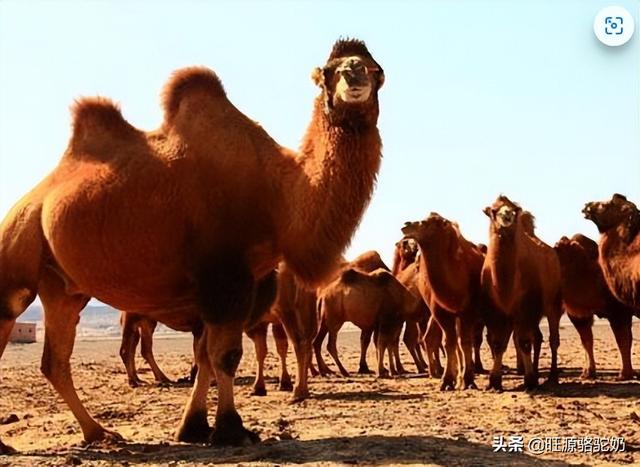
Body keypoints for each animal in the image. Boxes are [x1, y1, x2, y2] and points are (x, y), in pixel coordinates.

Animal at [0, 38, 382, 452]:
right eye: (329, 71)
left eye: (376, 69)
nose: (354, 74)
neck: (277, 194)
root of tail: (31, 199)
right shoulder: (224, 277)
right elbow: (225, 356)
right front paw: (231, 430)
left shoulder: (238, 285)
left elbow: (205, 356)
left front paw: (194, 427)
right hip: (17, 251)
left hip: (63, 286)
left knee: (54, 359)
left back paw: (98, 433)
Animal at [482, 195, 564, 392]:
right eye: (493, 210)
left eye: (513, 208)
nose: (507, 215)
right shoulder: (496, 312)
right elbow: (499, 343)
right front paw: (494, 381)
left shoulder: (526, 309)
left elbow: (525, 342)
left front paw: (530, 381)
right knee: (538, 337)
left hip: (552, 304)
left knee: (552, 338)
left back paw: (552, 376)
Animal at [552, 234, 636, 380]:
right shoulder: (579, 314)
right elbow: (587, 340)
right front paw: (588, 372)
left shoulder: (619, 312)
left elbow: (623, 340)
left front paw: (625, 374)